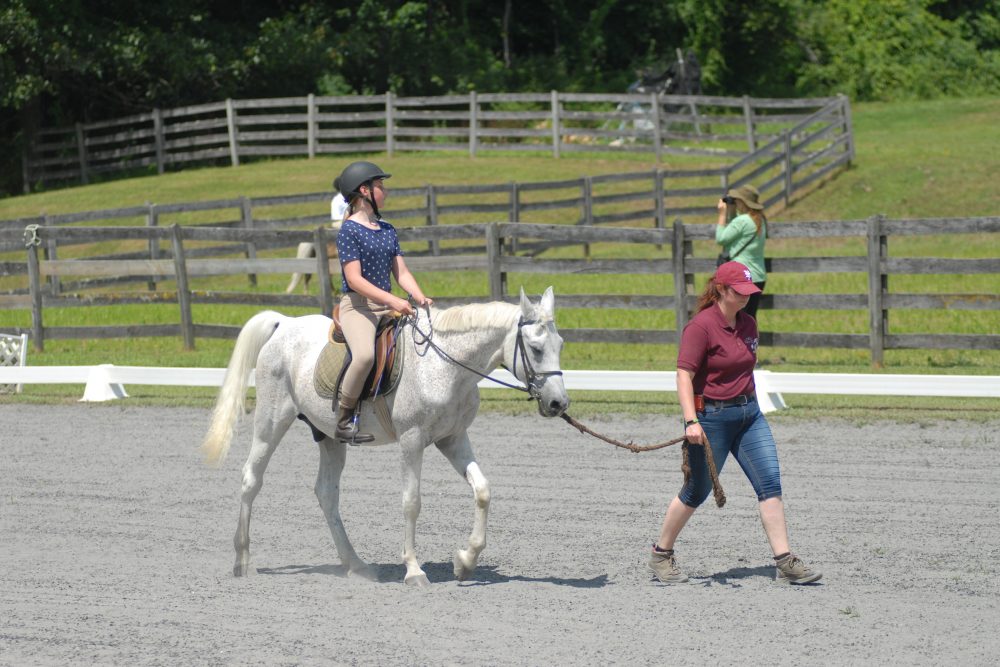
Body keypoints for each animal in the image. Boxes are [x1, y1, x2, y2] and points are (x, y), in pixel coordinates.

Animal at [199, 288, 572, 584]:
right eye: (536, 349)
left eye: (560, 344)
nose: (559, 403)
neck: (444, 366)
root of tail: (284, 324)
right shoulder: (412, 440)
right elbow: (411, 502)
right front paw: (414, 570)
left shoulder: (453, 439)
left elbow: (482, 490)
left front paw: (465, 562)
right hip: (271, 422)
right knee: (251, 479)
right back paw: (242, 560)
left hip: (330, 437)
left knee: (326, 493)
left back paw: (356, 565)